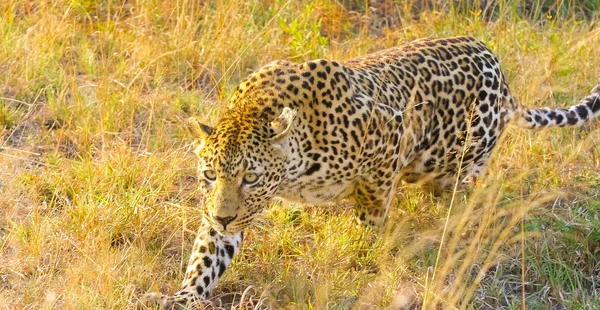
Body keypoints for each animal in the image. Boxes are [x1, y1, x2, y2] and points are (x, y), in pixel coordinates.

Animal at [136, 35, 600, 308]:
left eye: (251, 178)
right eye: (210, 175)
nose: (224, 215)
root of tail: (497, 66)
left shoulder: (388, 141)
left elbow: (371, 214)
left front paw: (364, 254)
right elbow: (206, 257)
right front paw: (183, 296)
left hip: (456, 156)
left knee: (460, 192)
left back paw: (453, 225)